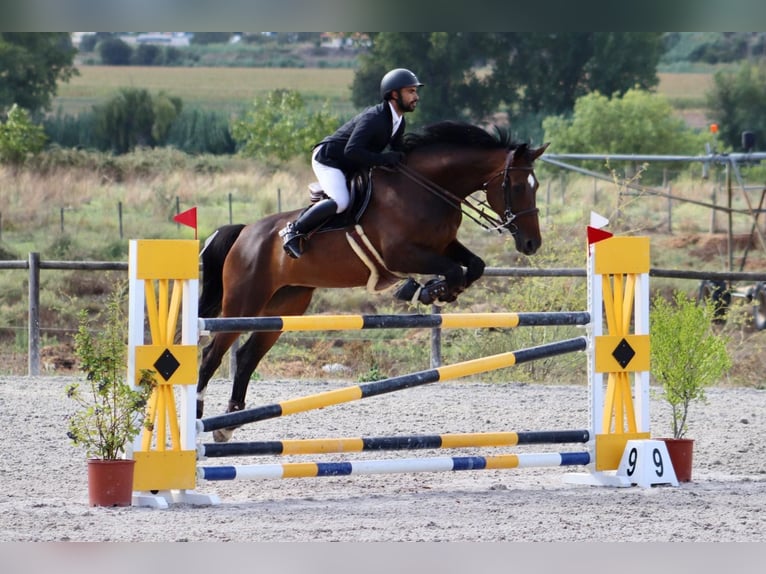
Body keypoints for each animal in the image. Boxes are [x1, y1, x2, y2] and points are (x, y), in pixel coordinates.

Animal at [196, 120, 549, 441]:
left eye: (536, 187)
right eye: (518, 187)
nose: (532, 244)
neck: (427, 188)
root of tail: (244, 232)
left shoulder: (442, 246)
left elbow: (473, 266)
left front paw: (435, 291)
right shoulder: (402, 254)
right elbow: (452, 270)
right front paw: (424, 290)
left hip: (284, 305)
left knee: (246, 356)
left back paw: (228, 423)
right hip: (244, 302)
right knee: (212, 354)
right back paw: (199, 416)